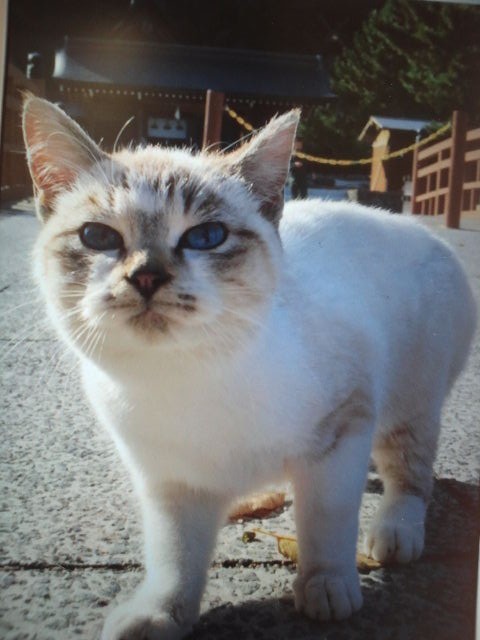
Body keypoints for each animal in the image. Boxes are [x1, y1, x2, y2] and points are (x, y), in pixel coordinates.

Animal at [23, 96, 476, 640]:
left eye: (206, 237)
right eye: (97, 237)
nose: (147, 276)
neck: (187, 382)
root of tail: (417, 227)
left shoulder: (343, 429)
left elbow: (326, 521)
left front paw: (326, 588)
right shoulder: (172, 483)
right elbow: (174, 558)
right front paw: (161, 613)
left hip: (409, 401)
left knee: (409, 472)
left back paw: (395, 531)